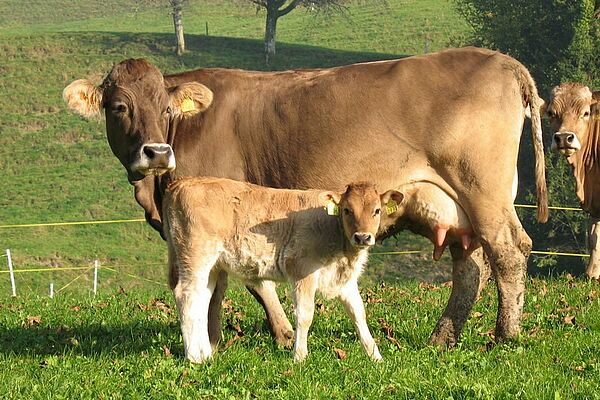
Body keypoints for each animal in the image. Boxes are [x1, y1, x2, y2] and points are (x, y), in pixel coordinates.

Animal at [163, 178, 404, 362]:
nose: (362, 237)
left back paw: (205, 353)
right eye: (347, 210)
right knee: (186, 295)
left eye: (377, 210)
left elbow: (359, 314)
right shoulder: (302, 270)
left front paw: (375, 357)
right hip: (196, 255)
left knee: (202, 299)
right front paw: (299, 357)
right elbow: (305, 315)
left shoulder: (344, 280)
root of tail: (182, 183)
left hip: (212, 265)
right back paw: (194, 357)